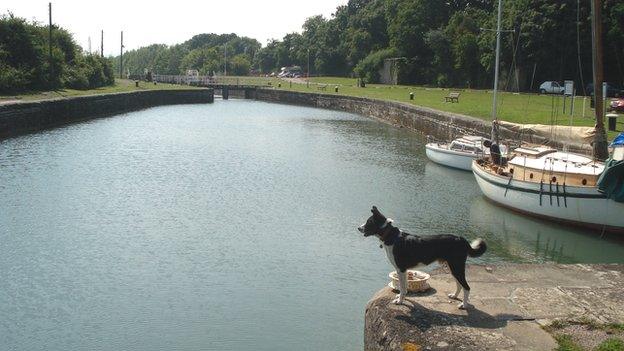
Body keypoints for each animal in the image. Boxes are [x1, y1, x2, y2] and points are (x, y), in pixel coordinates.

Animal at [358, 208, 486, 310]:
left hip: (456, 267)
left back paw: (464, 305)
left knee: (467, 287)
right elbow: (404, 288)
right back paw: (454, 296)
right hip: (453, 267)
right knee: (459, 285)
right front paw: (401, 298)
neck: (392, 236)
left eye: (369, 222)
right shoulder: (403, 270)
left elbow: (403, 287)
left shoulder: (401, 269)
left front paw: (399, 301)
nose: (358, 228)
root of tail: (462, 239)